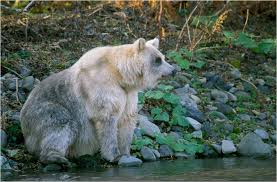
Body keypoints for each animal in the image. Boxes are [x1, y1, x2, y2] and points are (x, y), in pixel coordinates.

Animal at [20, 37, 175, 166]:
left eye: (163, 57)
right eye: (158, 60)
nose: (174, 70)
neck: (120, 75)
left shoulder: (128, 95)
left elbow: (127, 120)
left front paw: (126, 153)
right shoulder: (101, 86)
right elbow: (107, 119)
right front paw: (114, 155)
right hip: (44, 111)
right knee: (61, 125)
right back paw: (56, 157)